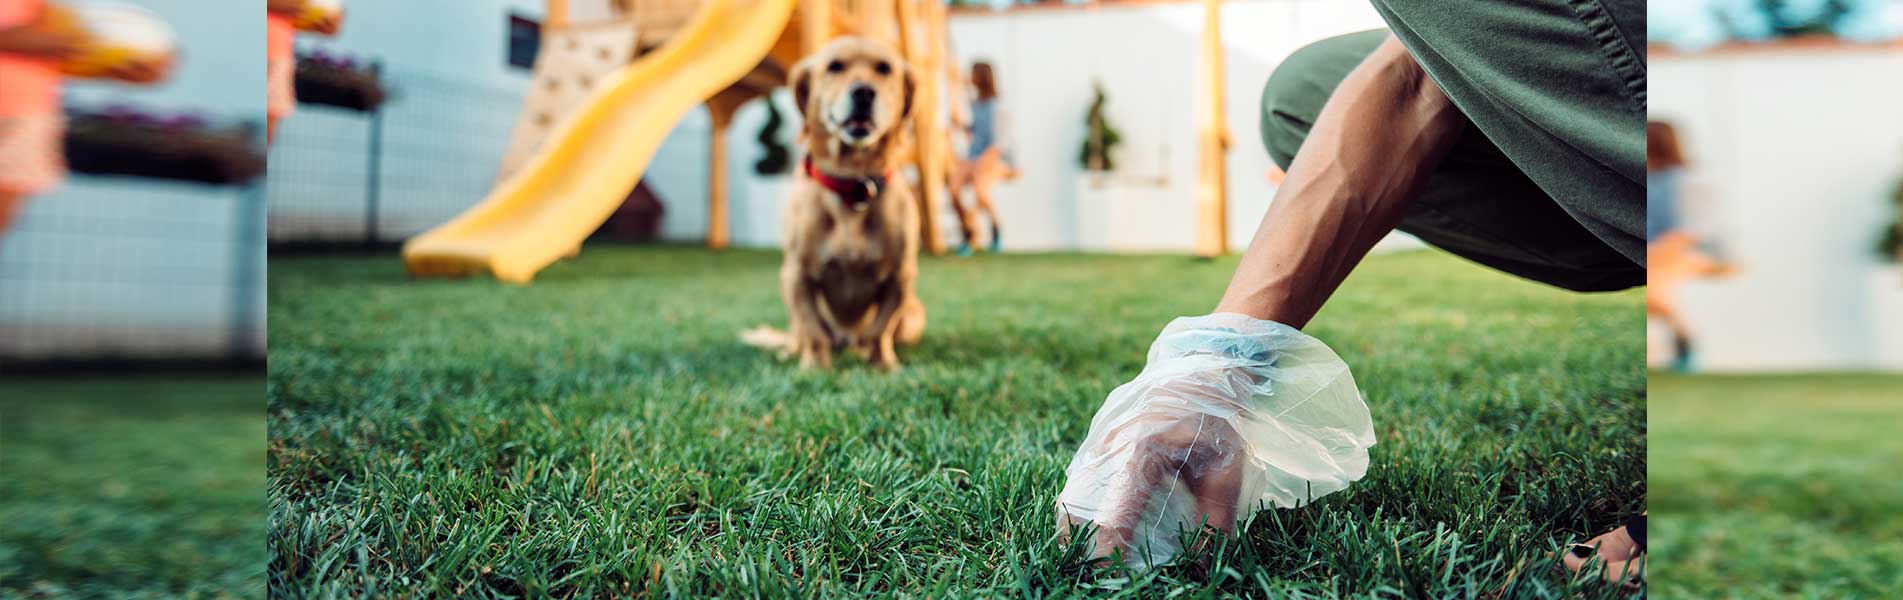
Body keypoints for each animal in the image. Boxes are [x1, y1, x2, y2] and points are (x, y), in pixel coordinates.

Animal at [738, 37, 924, 371]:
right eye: (835, 66)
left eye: (884, 68)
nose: (863, 92)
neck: (852, 184)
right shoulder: (796, 276)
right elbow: (814, 329)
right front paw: (815, 367)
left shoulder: (901, 278)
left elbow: (880, 328)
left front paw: (882, 364)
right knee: (800, 334)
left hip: (915, 316)